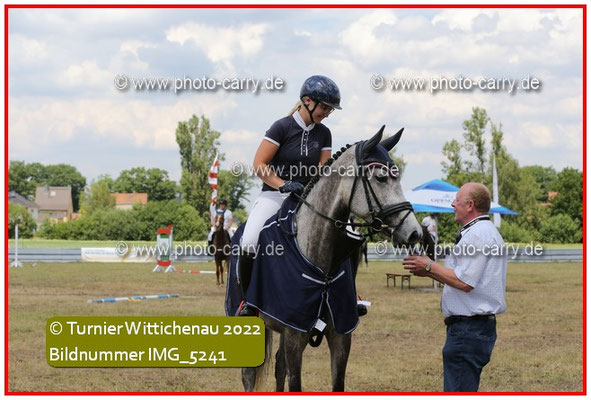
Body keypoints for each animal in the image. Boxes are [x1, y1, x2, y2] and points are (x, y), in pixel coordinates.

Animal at [228, 126, 423, 392]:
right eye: (381, 178)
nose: (414, 233)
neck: (321, 262)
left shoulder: (340, 334)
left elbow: (336, 382)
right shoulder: (294, 335)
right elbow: (295, 383)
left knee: (279, 366)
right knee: (249, 373)